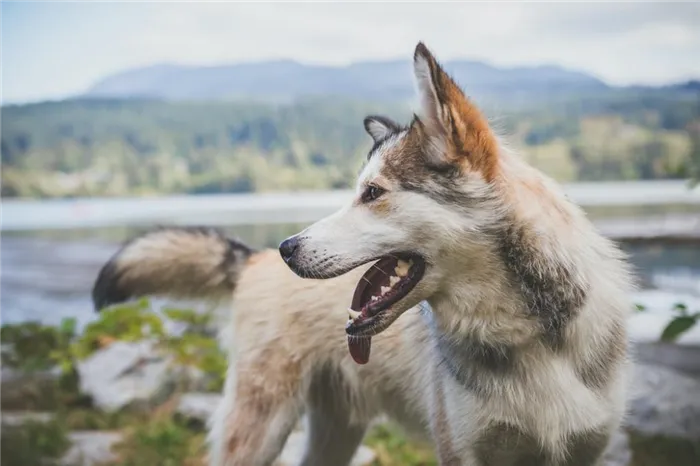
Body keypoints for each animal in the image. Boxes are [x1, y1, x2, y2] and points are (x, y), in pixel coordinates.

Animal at [93, 41, 636, 464]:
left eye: (371, 193)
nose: (289, 248)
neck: (533, 337)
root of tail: (252, 259)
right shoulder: (463, 451)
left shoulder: (585, 450)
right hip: (260, 428)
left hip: (334, 435)